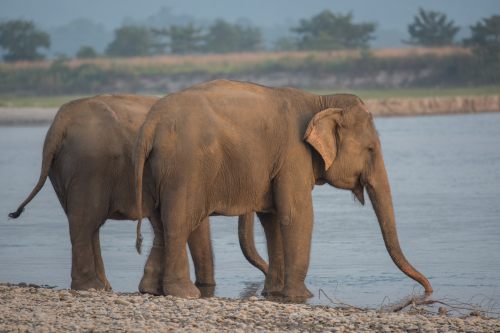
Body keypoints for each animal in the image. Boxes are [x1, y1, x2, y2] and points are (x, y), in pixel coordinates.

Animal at [7, 93, 268, 294]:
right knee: (85, 222)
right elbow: (195, 225)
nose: (262, 279)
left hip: (64, 170)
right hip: (89, 166)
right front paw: (205, 288)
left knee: (88, 223)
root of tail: (59, 125)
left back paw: (104, 287)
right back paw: (91, 287)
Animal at [134, 80, 434, 298]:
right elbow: (297, 214)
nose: (428, 289)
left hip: (154, 172)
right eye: (371, 149)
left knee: (159, 223)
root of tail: (151, 124)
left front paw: (274, 293)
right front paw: (302, 297)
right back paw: (184, 293)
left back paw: (151, 290)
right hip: (184, 168)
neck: (321, 101)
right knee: (179, 221)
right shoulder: (294, 154)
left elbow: (273, 218)